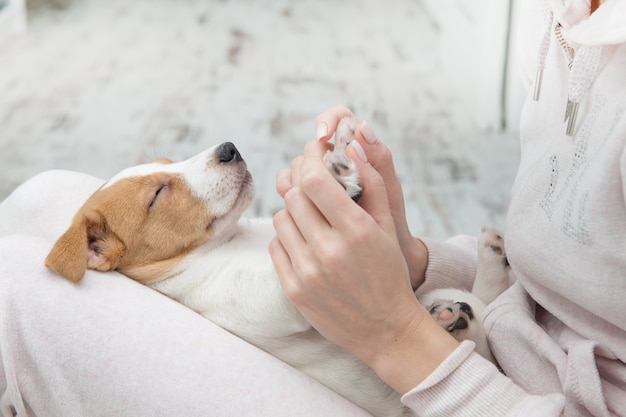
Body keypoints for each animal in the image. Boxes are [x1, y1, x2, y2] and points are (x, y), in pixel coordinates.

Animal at [47, 117, 508, 416]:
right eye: (158, 193)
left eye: (169, 162)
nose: (229, 149)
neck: (232, 243)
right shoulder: (264, 299)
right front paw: (336, 178)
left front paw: (341, 148)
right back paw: (459, 309)